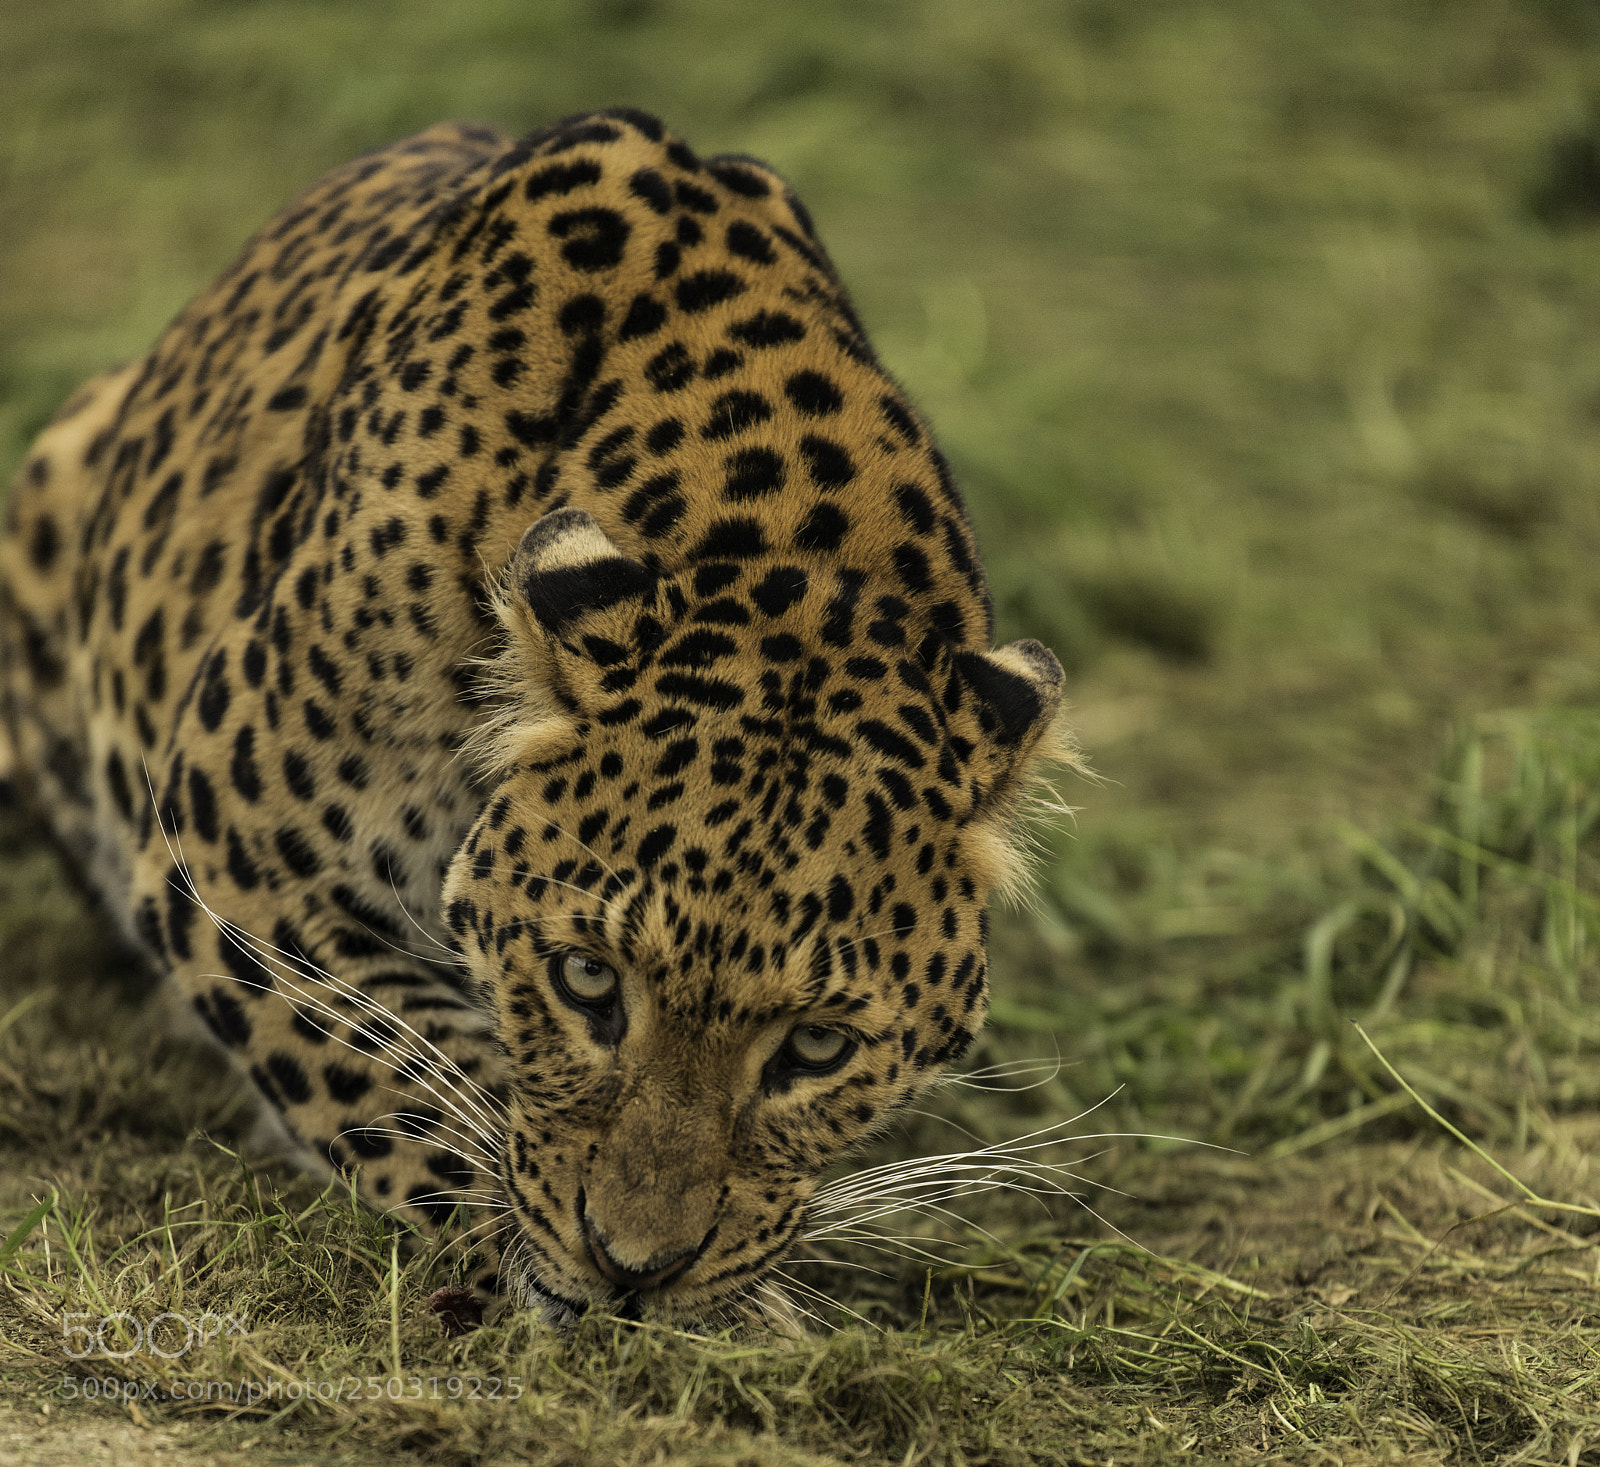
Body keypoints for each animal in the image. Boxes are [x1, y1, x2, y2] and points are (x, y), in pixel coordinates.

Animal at [0, 108, 1076, 1332]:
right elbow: (395, 1062)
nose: (635, 1271)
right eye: (586, 983)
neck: (787, 543)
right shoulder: (241, 846)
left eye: (817, 1045)